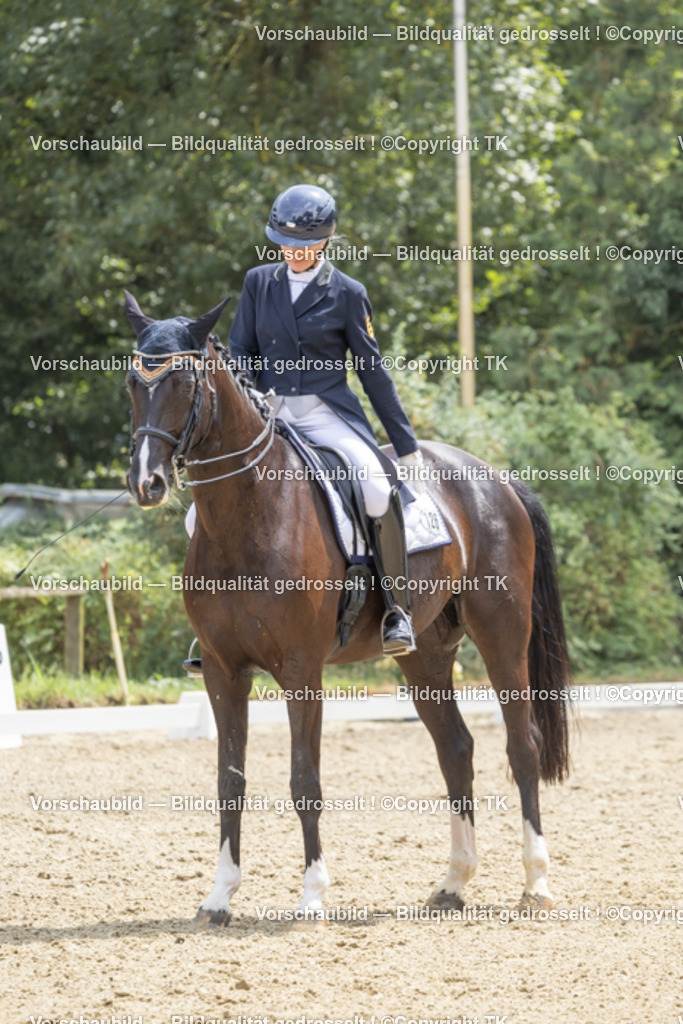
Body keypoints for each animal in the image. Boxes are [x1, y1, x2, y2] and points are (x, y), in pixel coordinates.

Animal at [124, 290, 571, 925]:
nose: (147, 482)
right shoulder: (221, 670)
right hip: (424, 654)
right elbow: (229, 780)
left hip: (502, 633)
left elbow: (304, 779)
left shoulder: (301, 669)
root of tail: (496, 478)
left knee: (522, 745)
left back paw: (535, 883)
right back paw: (453, 883)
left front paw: (312, 895)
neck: (248, 510)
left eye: (185, 382)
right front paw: (219, 896)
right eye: (133, 383)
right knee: (456, 749)